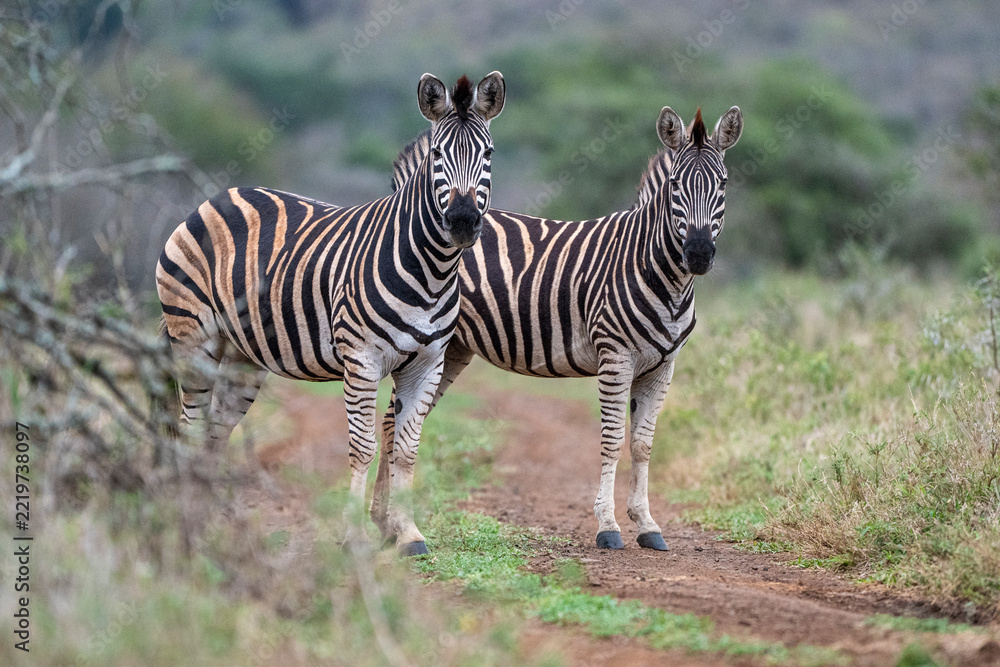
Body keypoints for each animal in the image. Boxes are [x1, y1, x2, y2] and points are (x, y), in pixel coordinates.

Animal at [155, 72, 506, 556]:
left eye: (488, 154)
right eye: (436, 154)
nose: (463, 221)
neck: (432, 270)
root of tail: (217, 198)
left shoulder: (427, 363)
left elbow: (407, 448)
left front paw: (409, 534)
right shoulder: (361, 359)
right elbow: (363, 447)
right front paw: (354, 537)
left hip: (244, 356)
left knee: (214, 431)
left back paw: (206, 525)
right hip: (193, 337)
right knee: (189, 427)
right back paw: (188, 524)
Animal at [371, 105, 742, 551]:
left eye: (723, 183)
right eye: (674, 185)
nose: (699, 254)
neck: (661, 274)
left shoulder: (662, 366)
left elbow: (643, 444)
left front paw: (647, 524)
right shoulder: (615, 356)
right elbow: (613, 440)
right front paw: (608, 526)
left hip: (452, 349)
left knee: (393, 422)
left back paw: (387, 526)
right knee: (392, 422)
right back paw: (388, 525)